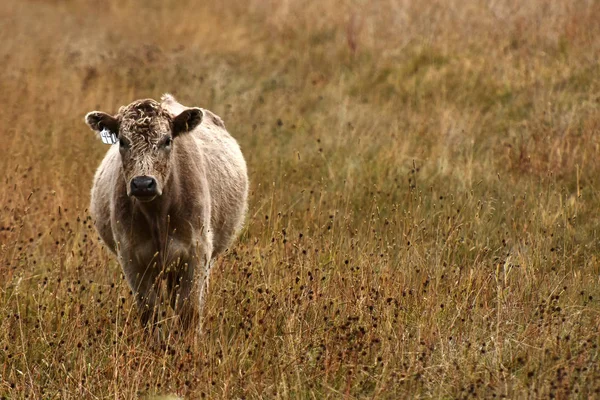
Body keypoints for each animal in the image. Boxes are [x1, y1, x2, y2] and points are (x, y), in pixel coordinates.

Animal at [83, 94, 247, 332]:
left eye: (167, 140)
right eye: (122, 141)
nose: (143, 184)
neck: (158, 216)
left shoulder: (196, 254)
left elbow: (189, 311)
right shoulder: (132, 259)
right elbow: (150, 312)